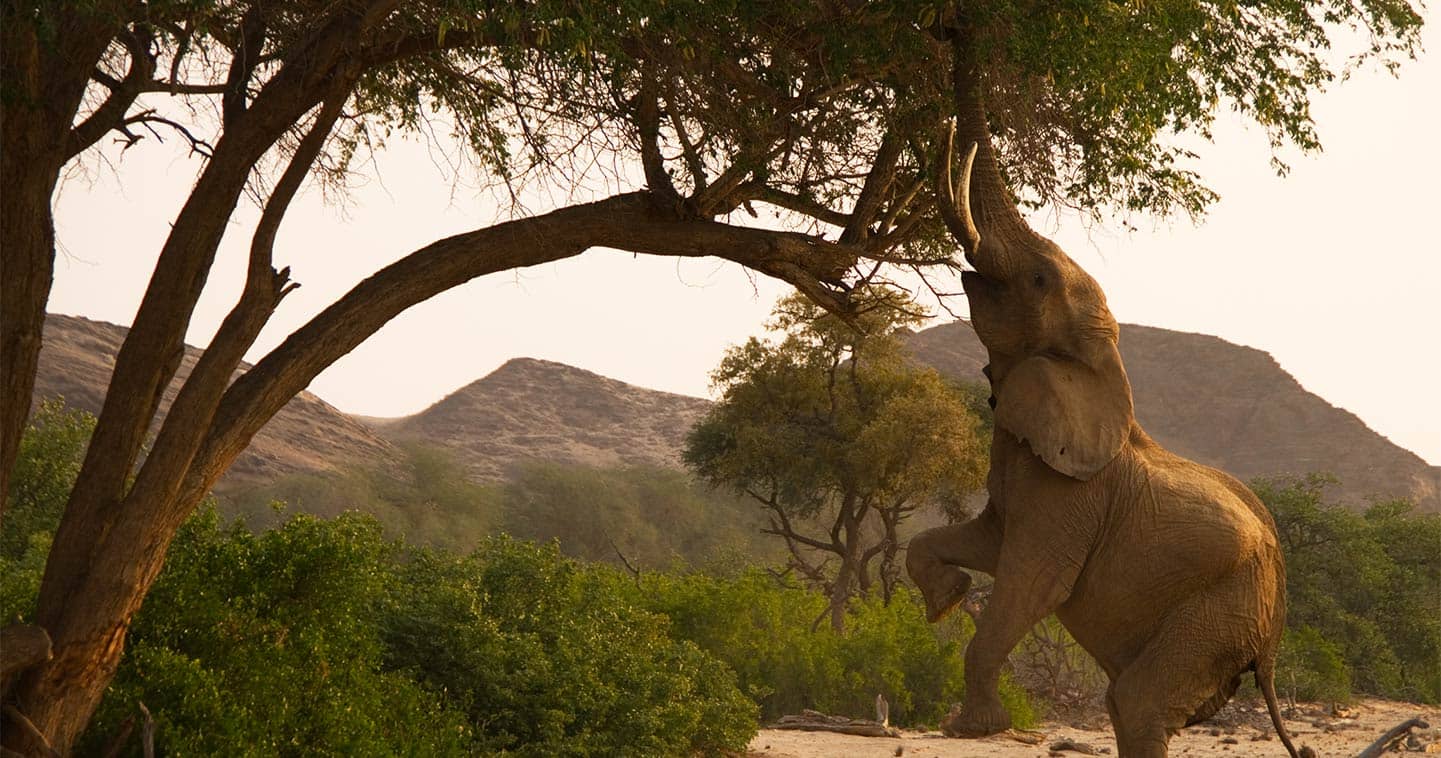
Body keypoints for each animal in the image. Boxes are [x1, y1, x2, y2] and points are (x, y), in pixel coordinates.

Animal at [910, 121, 1308, 755]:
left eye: (1038, 280)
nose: (951, 126)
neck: (1101, 364)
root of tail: (1273, 641)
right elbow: (982, 542)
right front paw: (947, 596)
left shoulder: (1074, 497)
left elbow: (1034, 583)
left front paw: (972, 728)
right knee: (1126, 703)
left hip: (1220, 610)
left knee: (1136, 699)